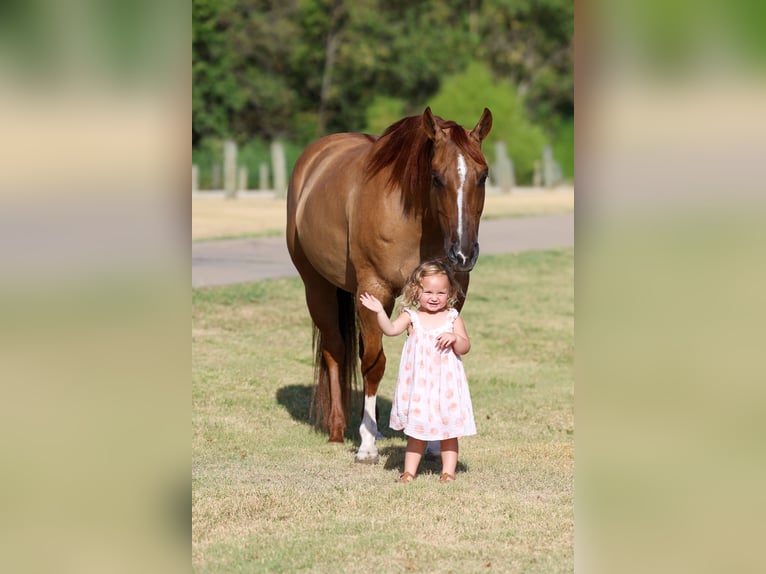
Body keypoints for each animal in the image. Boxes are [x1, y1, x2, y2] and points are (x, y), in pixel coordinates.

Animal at [286, 106, 492, 462]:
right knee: (336, 350)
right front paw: (366, 446)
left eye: (484, 175)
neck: (412, 219)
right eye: (435, 176)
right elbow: (374, 364)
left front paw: (434, 441)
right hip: (318, 288)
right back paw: (338, 429)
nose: (464, 253)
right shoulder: (375, 290)